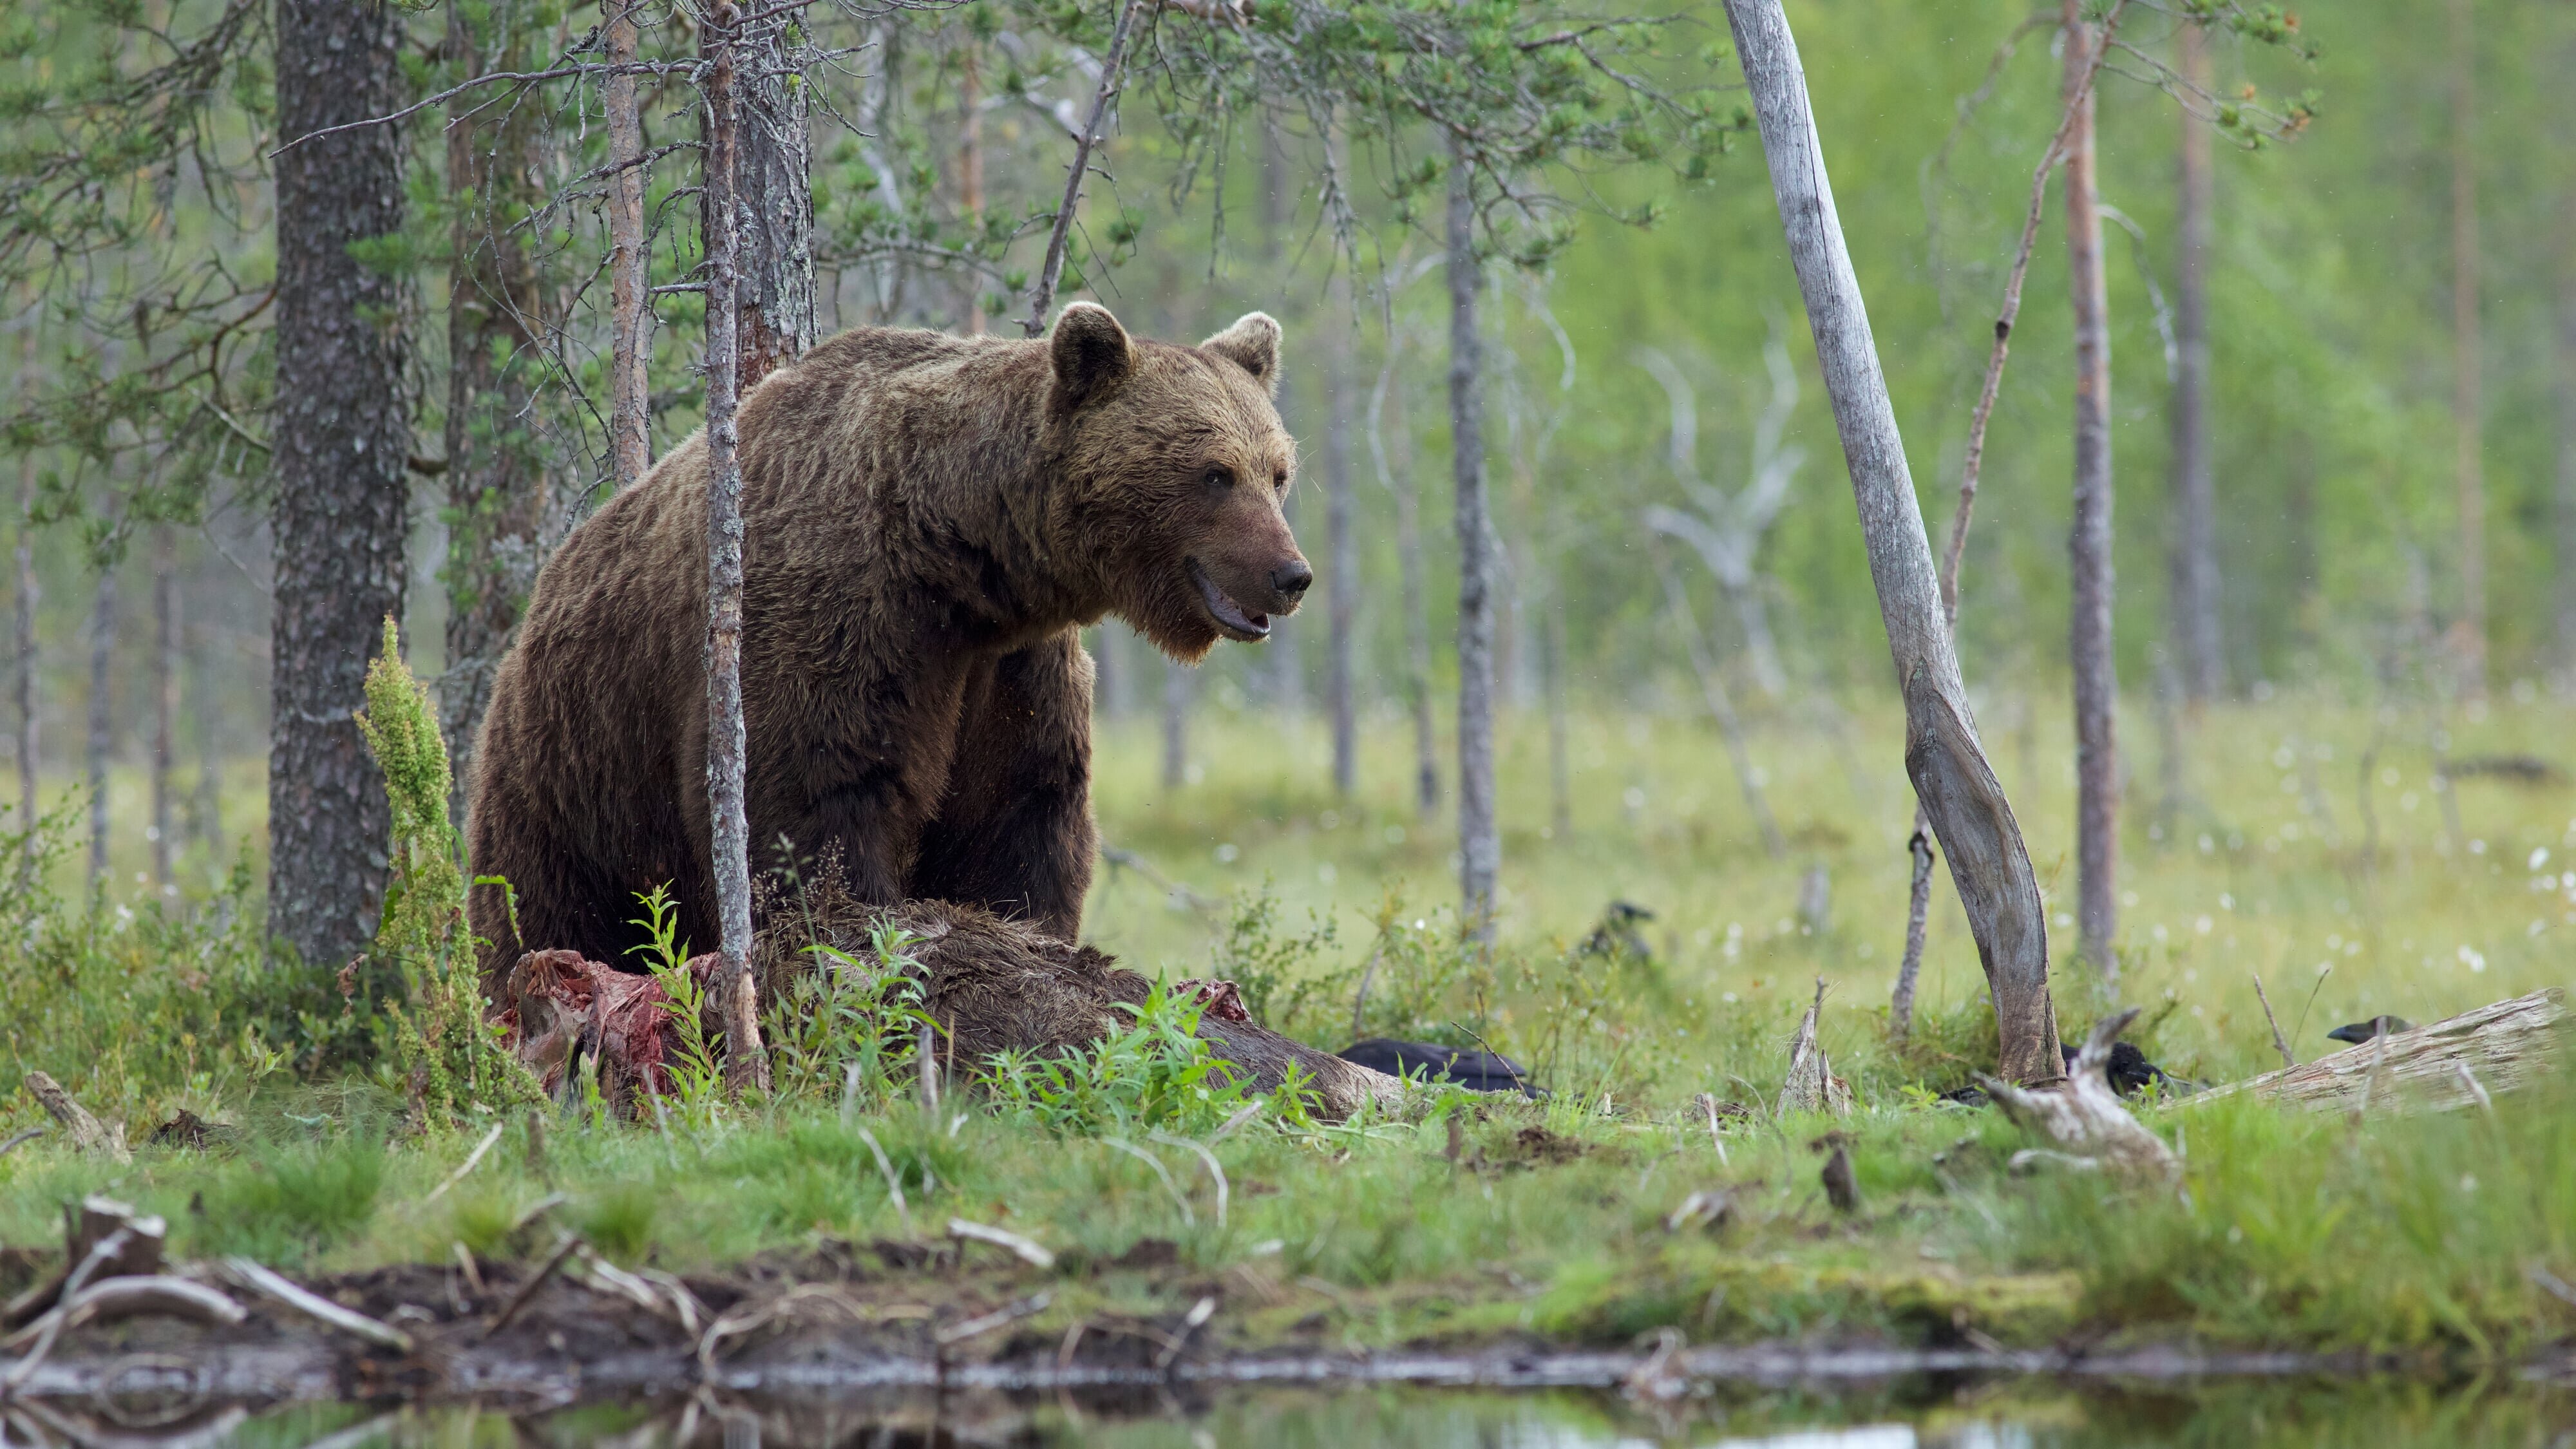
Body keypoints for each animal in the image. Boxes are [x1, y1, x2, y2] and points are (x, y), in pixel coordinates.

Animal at [466, 307, 1309, 980]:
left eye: (1277, 471)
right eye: (1214, 473)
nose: (1290, 574)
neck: (957, 557)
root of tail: (541, 596)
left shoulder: (1009, 671)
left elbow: (1018, 817)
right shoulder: (838, 622)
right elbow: (816, 805)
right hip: (582, 767)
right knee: (548, 907)